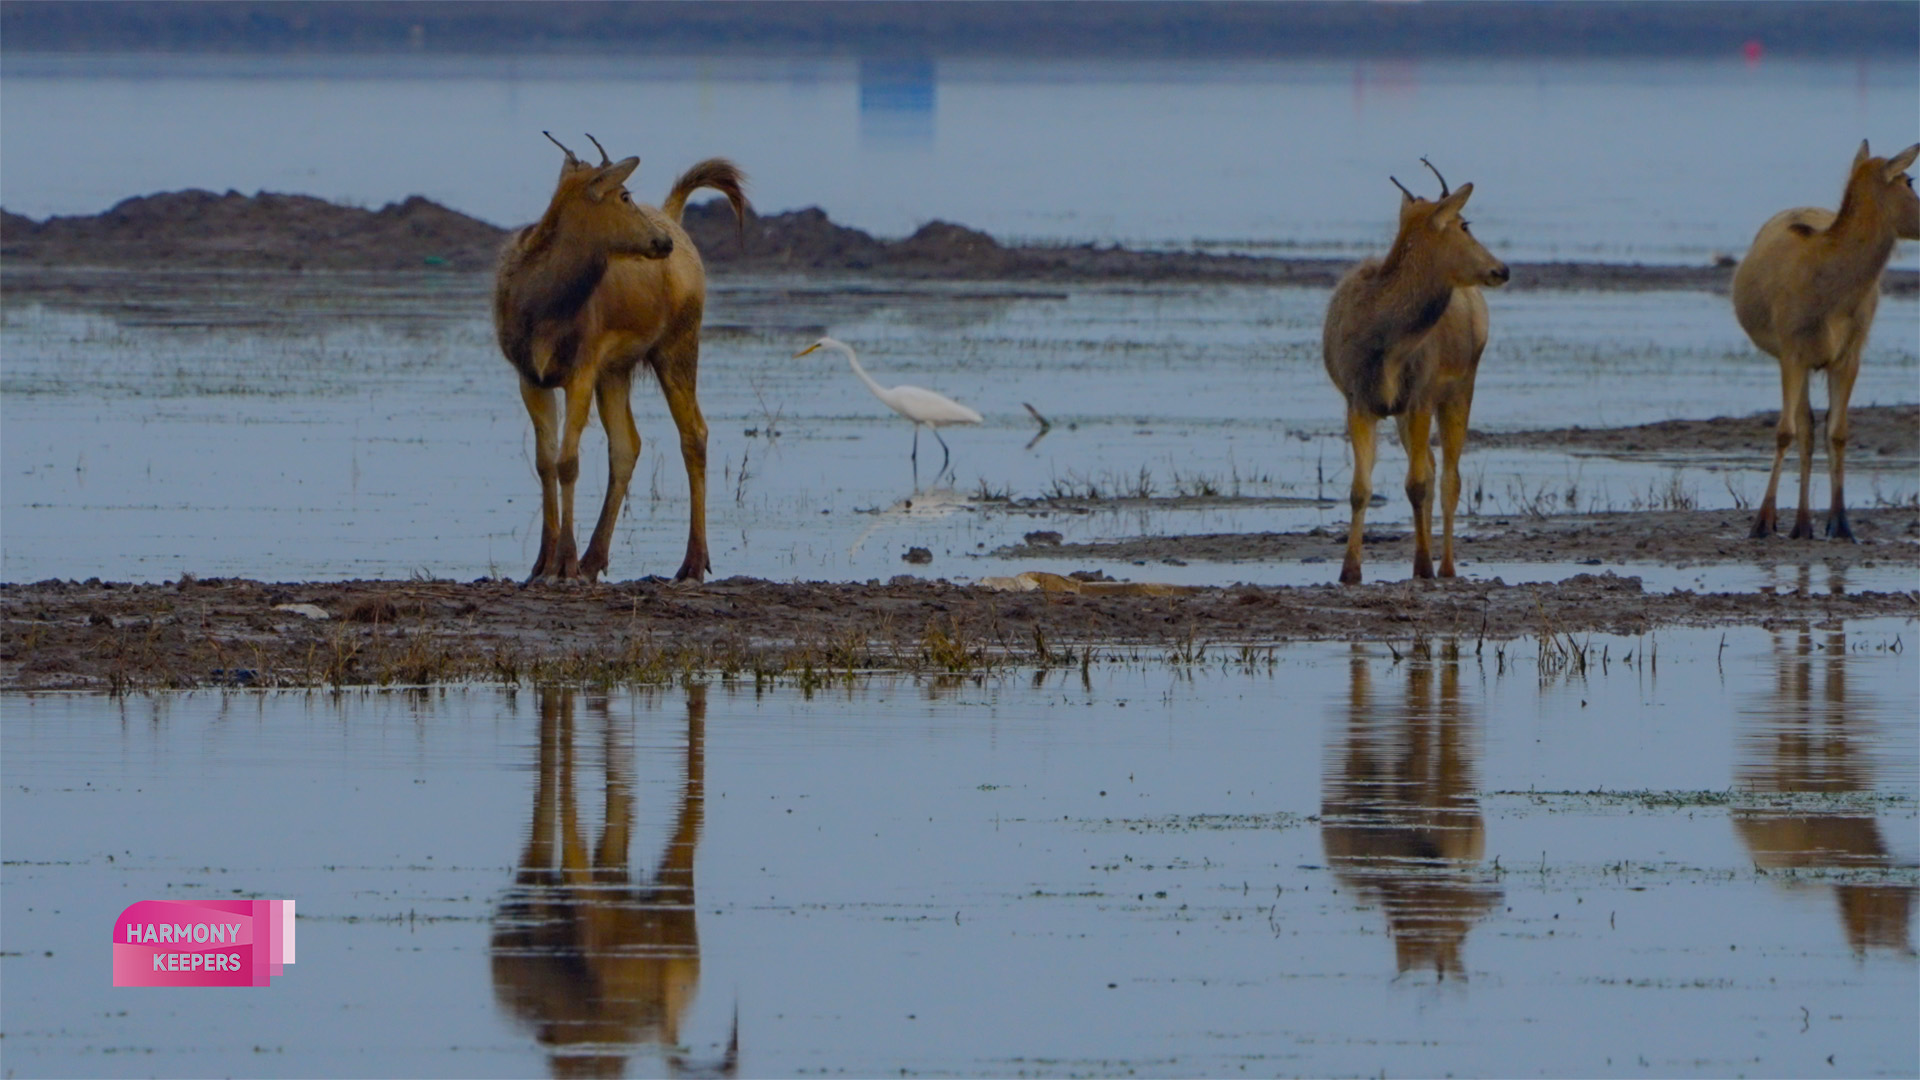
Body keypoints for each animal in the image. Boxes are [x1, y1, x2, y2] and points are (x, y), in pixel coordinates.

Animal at [495, 137, 748, 584]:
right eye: (625, 195)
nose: (661, 241)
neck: (543, 307)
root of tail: (673, 218)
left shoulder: (580, 370)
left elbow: (568, 462)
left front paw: (564, 563)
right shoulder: (530, 376)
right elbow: (545, 463)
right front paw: (543, 562)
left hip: (677, 346)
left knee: (694, 433)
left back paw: (692, 563)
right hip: (615, 371)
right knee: (627, 445)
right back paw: (595, 558)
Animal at [1328, 157, 1505, 580]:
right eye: (1464, 225)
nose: (1501, 269)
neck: (1385, 345)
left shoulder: (1421, 395)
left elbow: (1418, 484)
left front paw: (1423, 566)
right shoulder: (1359, 399)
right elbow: (1360, 488)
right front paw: (1349, 570)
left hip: (1461, 387)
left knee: (1450, 478)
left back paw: (1447, 566)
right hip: (1404, 412)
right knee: (1433, 464)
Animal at [1735, 139, 1912, 541]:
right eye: (1910, 181)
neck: (1832, 298)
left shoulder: (1849, 354)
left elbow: (1839, 432)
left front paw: (1842, 523)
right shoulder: (1792, 349)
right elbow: (1785, 431)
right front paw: (1761, 522)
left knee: (1812, 426)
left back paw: (1805, 522)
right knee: (1803, 426)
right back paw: (1797, 522)